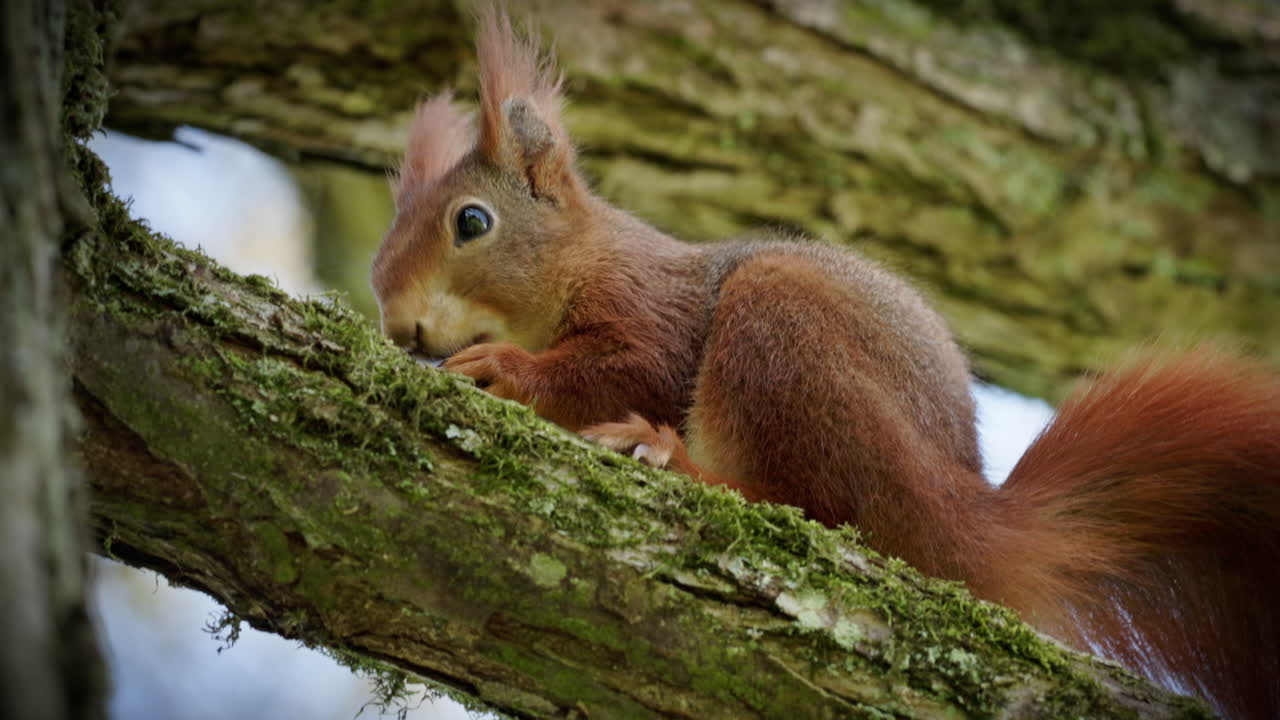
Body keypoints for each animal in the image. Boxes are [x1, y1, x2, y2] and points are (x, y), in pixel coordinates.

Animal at [371, 9, 1280, 719]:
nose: (398, 323)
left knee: (812, 508)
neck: (587, 257)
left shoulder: (653, 314)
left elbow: (622, 371)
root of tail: (968, 519)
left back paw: (668, 457)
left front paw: (504, 369)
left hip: (784, 334)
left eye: (472, 222)